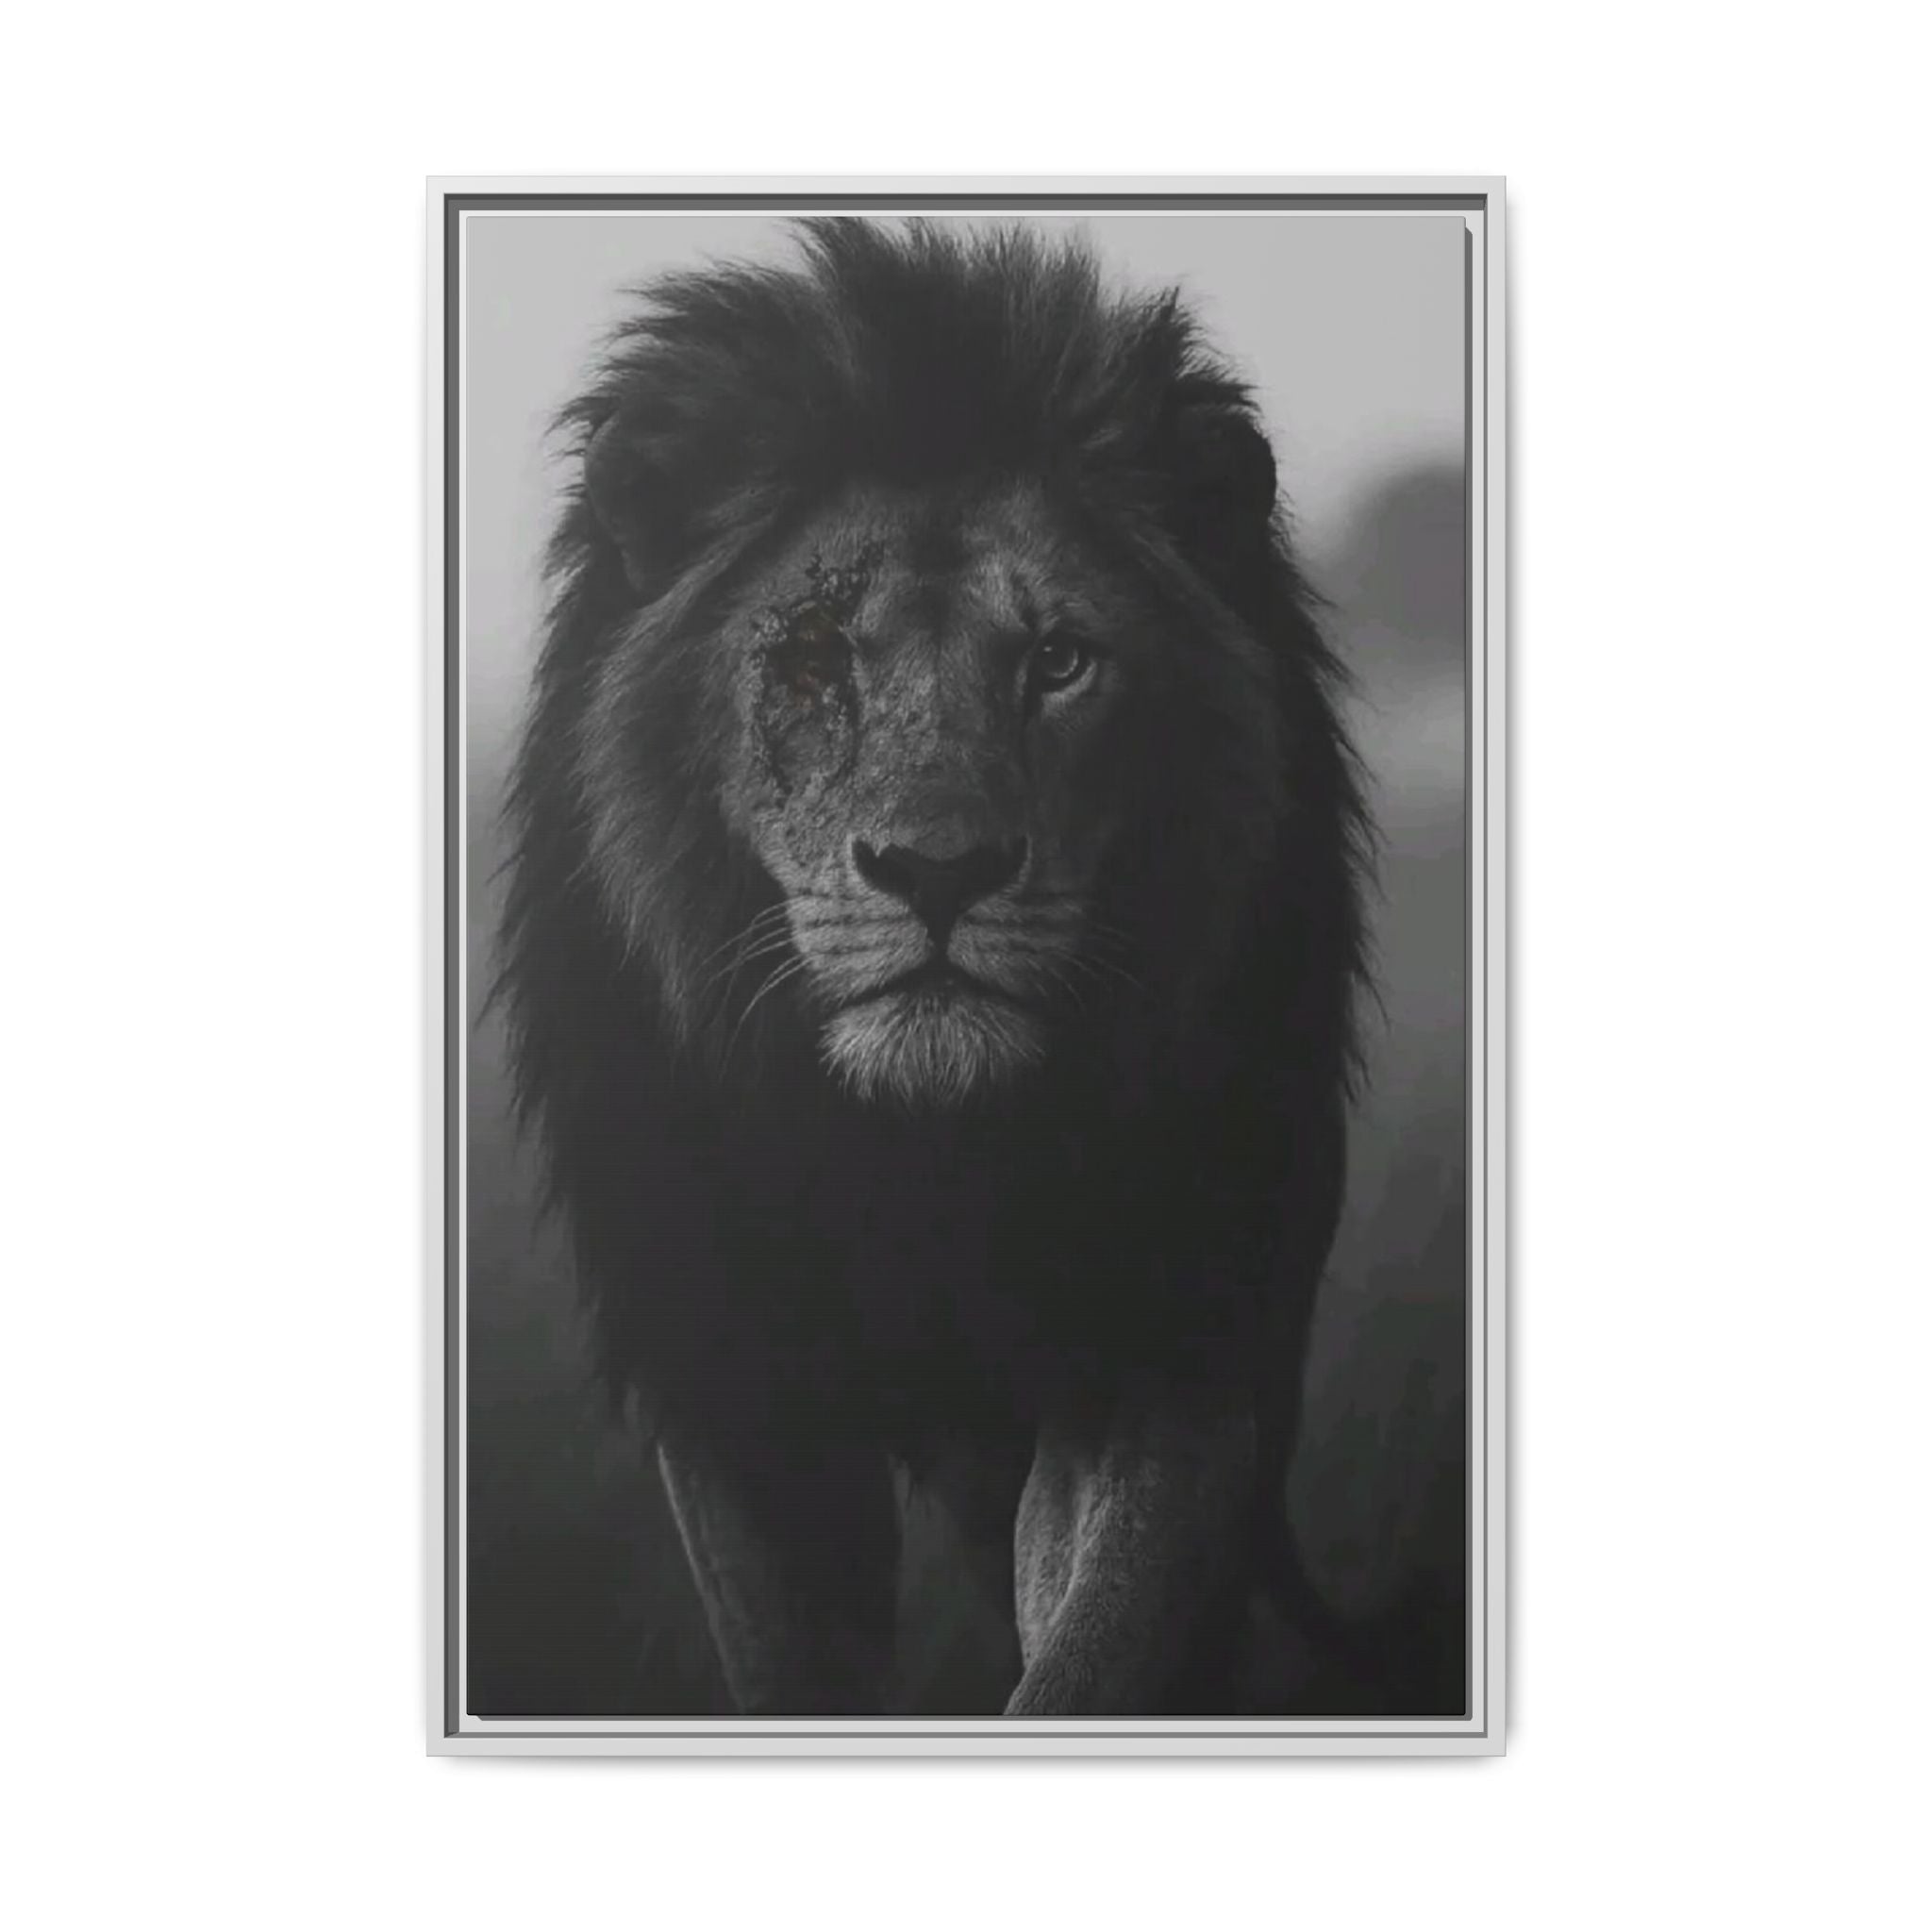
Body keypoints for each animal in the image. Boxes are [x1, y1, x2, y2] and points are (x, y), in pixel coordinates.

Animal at [498, 219, 1371, 1716]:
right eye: (809, 659)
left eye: (1060, 662)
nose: (939, 870)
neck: (922, 1158)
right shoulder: (732, 1381)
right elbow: (792, 1669)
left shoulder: (1166, 1337)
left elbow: (1098, 1647)